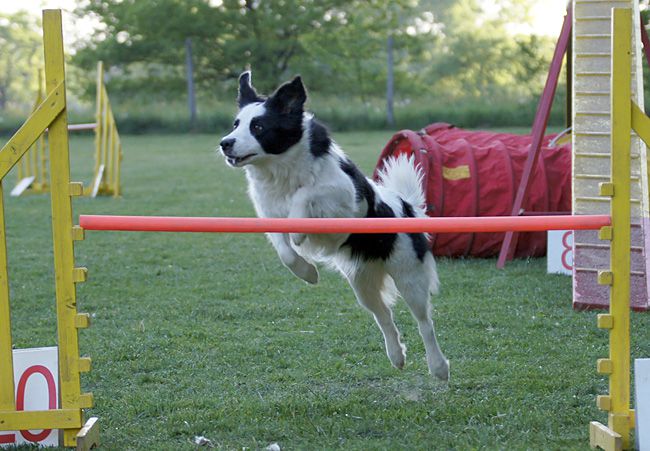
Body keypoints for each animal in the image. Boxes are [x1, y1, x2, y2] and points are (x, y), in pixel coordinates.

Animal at [218, 73, 446, 382]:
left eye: (258, 127)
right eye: (235, 124)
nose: (225, 143)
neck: (281, 169)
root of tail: (408, 206)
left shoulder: (347, 197)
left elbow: (305, 193)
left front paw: (299, 229)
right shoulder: (268, 214)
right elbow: (285, 252)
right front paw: (308, 273)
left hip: (409, 275)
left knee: (424, 321)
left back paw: (439, 367)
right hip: (362, 283)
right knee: (383, 315)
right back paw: (396, 356)